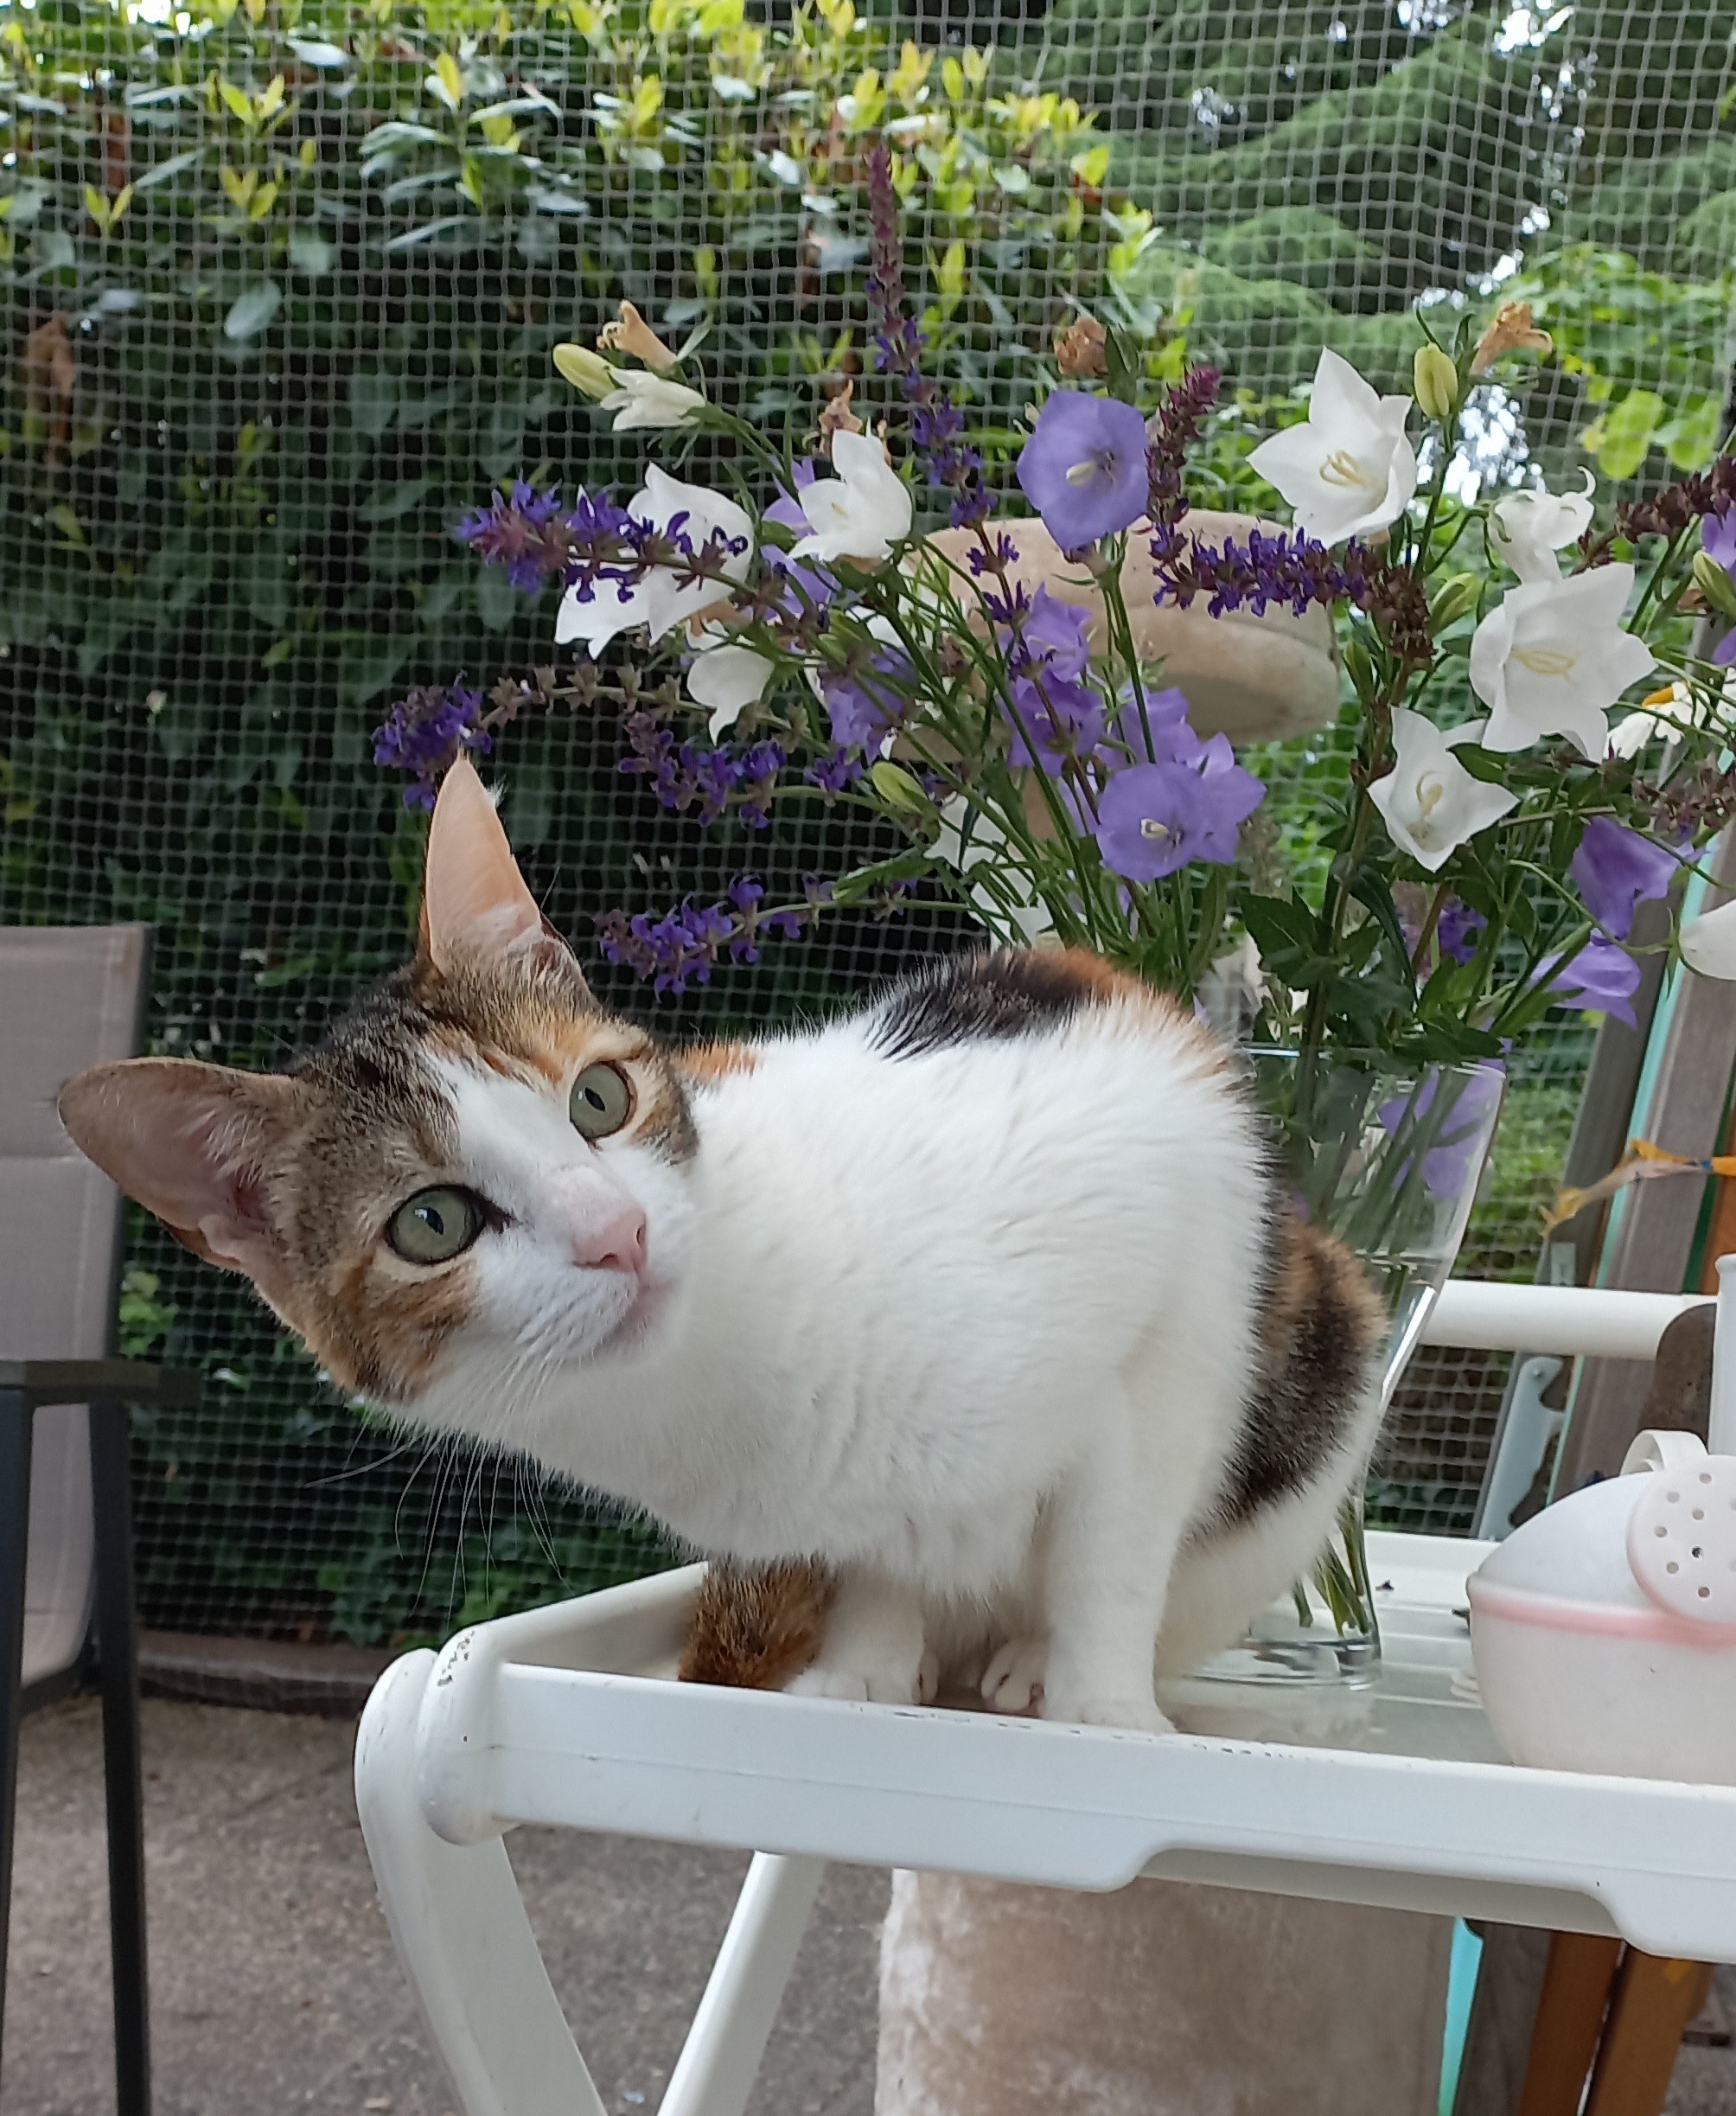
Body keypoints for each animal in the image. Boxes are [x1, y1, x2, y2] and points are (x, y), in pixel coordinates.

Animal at [57, 765, 1378, 1735]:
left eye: (598, 1096)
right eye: (430, 1222)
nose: (619, 1232)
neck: (713, 1387)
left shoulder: (1152, 1313)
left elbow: (1113, 1547)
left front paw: (1098, 1704)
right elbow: (884, 1558)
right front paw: (864, 1667)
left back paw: (1027, 1661)